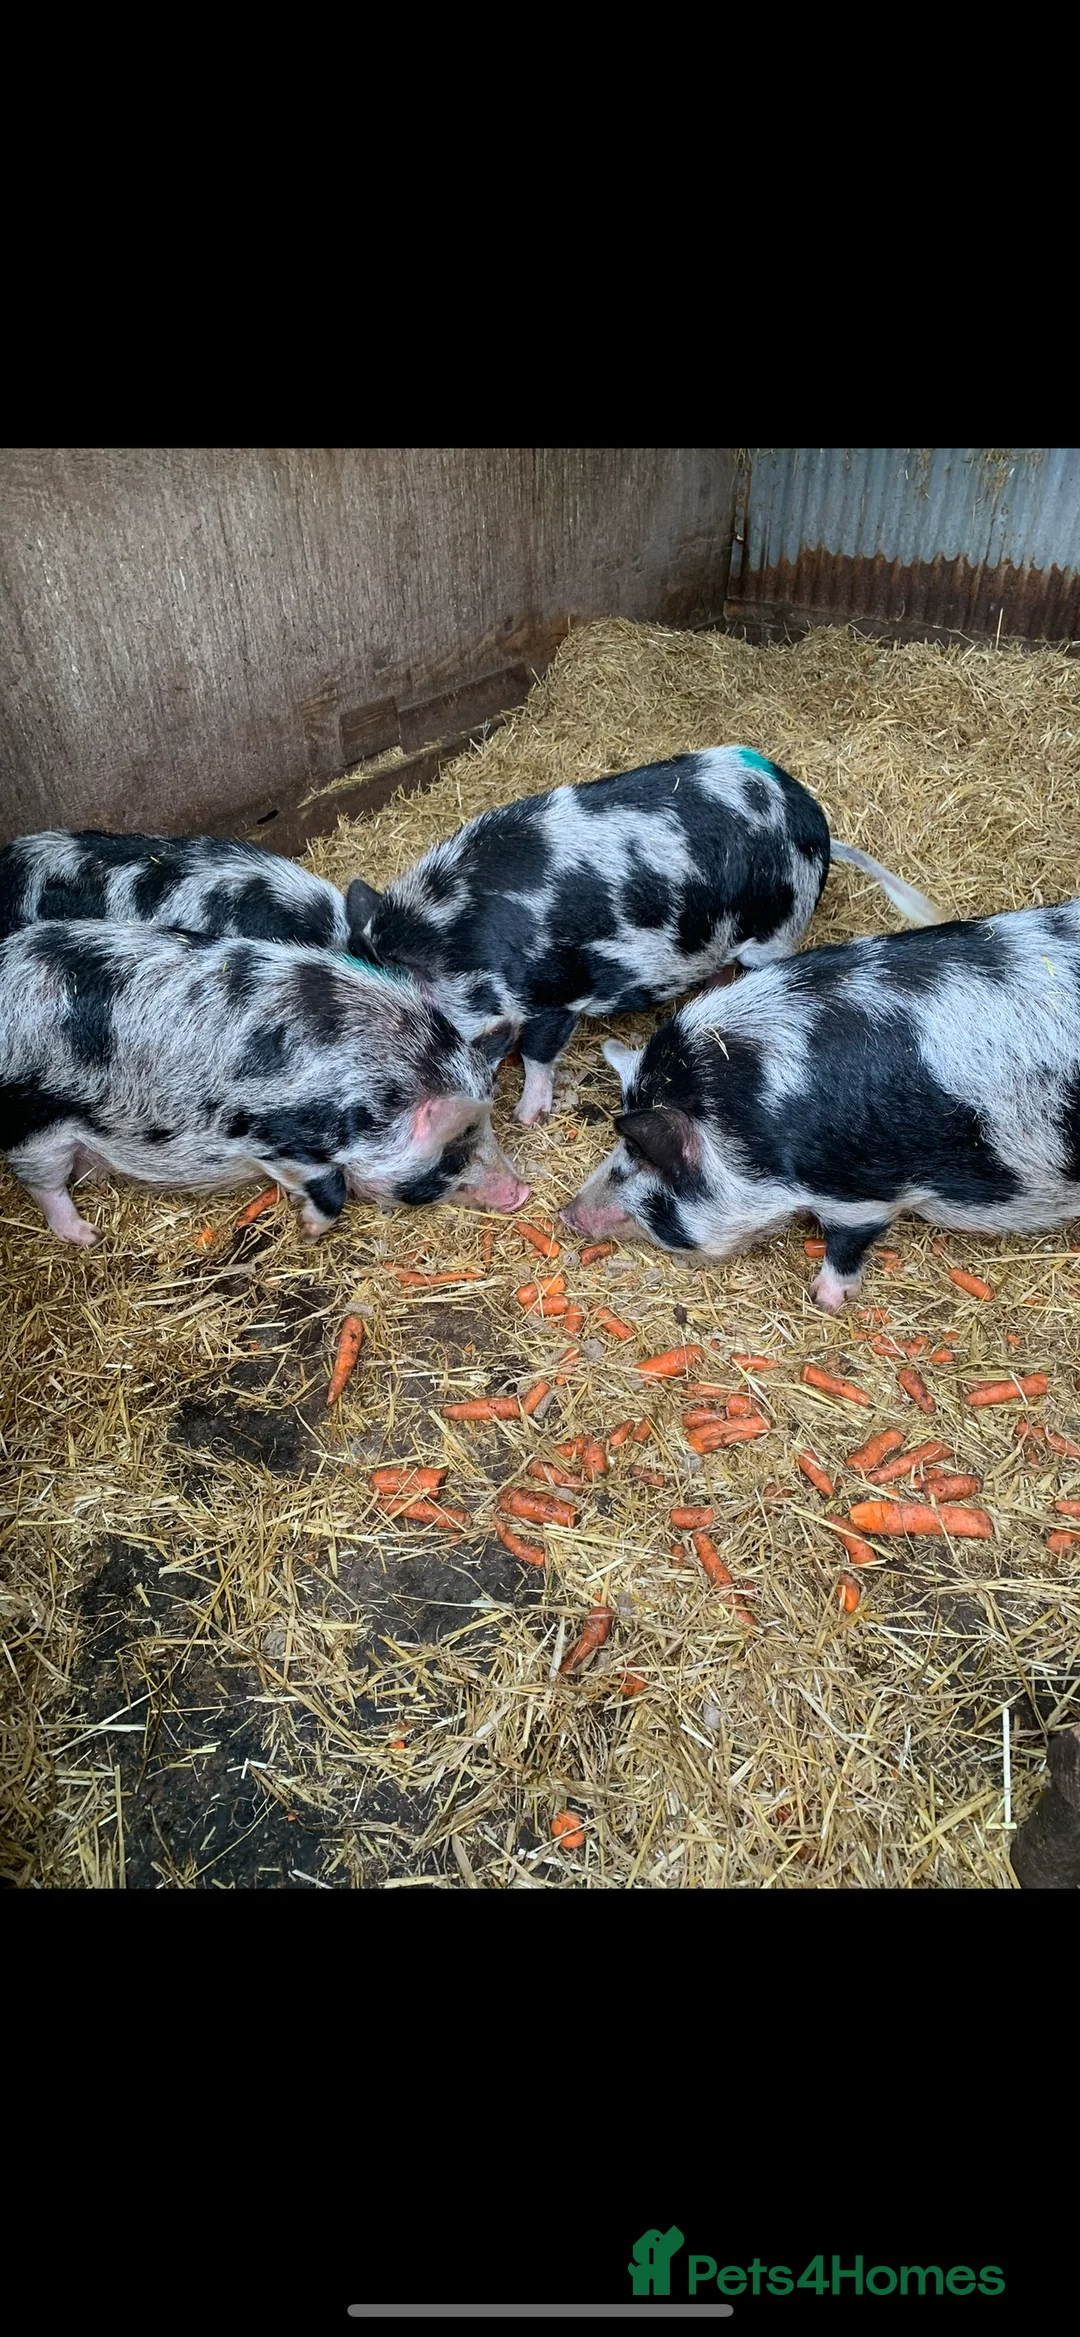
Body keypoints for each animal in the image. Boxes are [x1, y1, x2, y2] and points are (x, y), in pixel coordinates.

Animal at [0, 922, 527, 1246]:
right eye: (454, 1146)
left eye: (489, 1126)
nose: (520, 1193)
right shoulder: (271, 1135)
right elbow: (331, 1188)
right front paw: (306, 1231)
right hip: (35, 1124)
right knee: (44, 1185)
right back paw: (89, 1236)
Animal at [342, 746, 940, 1126]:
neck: (455, 934)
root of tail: (817, 824)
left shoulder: (556, 996)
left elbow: (538, 1054)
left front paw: (527, 1116)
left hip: (777, 929)